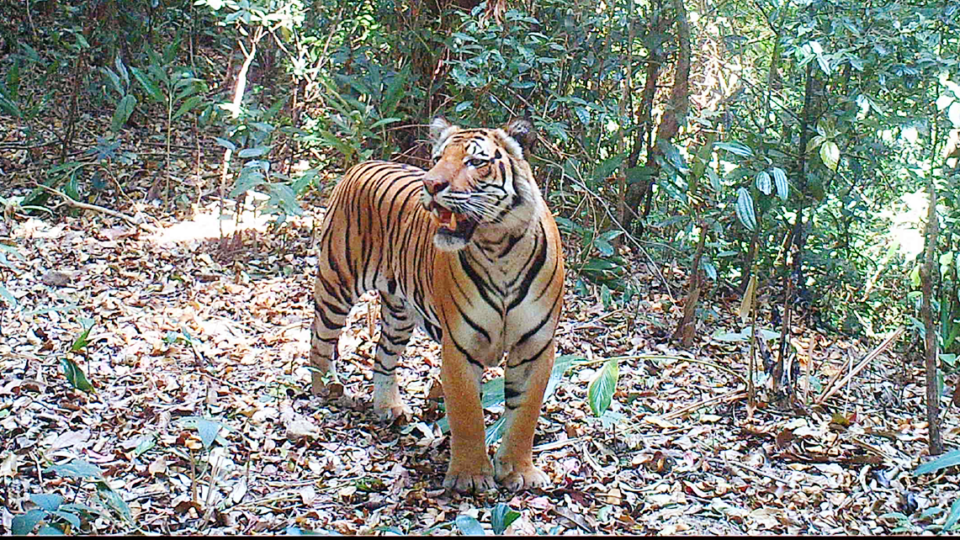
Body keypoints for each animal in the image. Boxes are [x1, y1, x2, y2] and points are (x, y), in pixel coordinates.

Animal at [308, 118, 564, 494]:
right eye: (438, 158)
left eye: (476, 162)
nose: (430, 184)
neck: (500, 250)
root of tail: (361, 164)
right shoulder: (460, 344)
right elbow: (467, 412)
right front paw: (471, 475)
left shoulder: (536, 347)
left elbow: (525, 414)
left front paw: (519, 471)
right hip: (337, 282)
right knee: (320, 340)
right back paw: (326, 389)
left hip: (399, 312)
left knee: (383, 356)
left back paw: (389, 407)